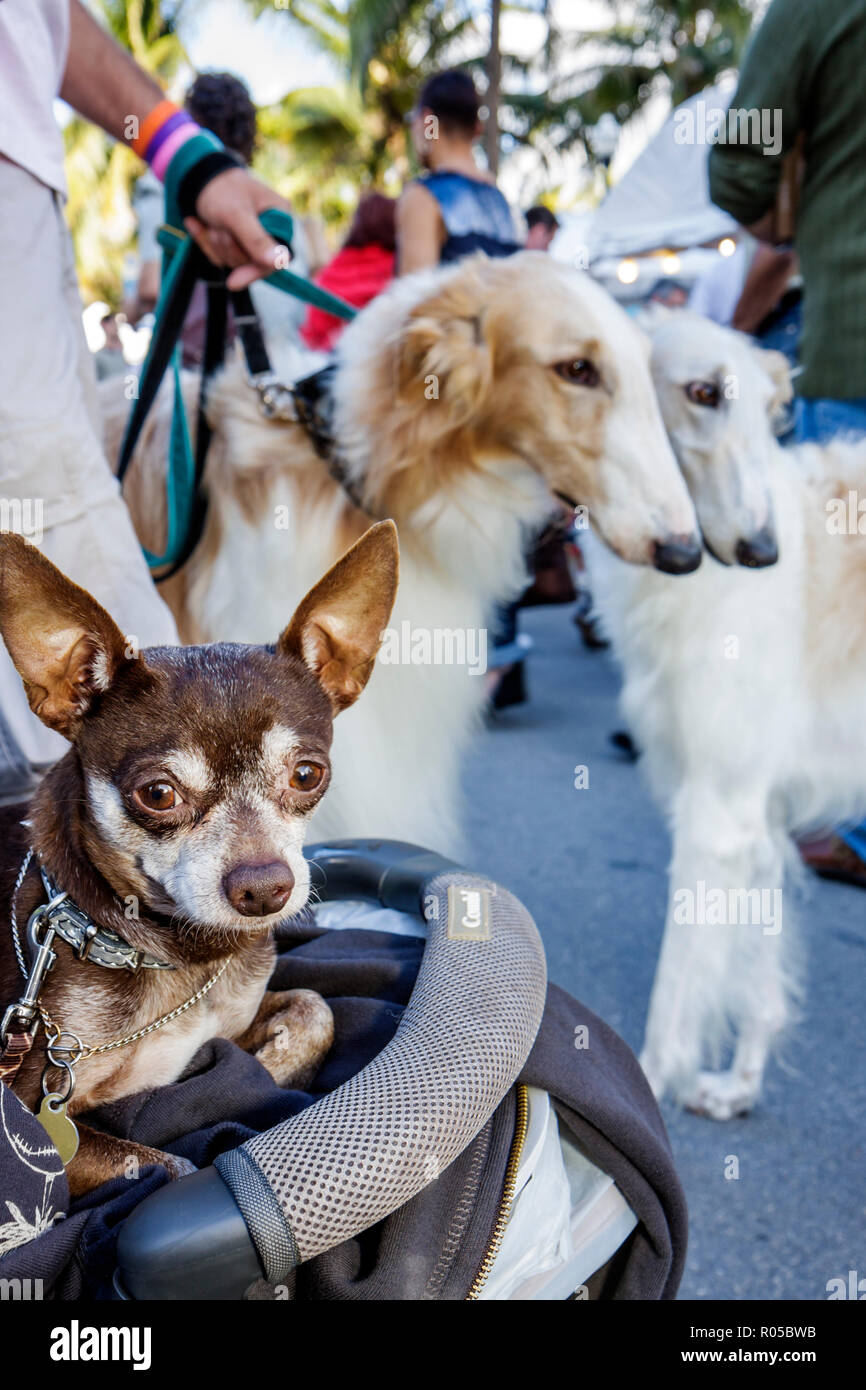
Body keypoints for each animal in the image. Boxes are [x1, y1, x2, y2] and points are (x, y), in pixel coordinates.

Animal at [589, 312, 866, 1117]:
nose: (762, 552)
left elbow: (676, 993)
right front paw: (739, 1086)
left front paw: (651, 1091)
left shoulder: (717, 814)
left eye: (773, 412)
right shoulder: (756, 814)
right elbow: (759, 978)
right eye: (703, 392)